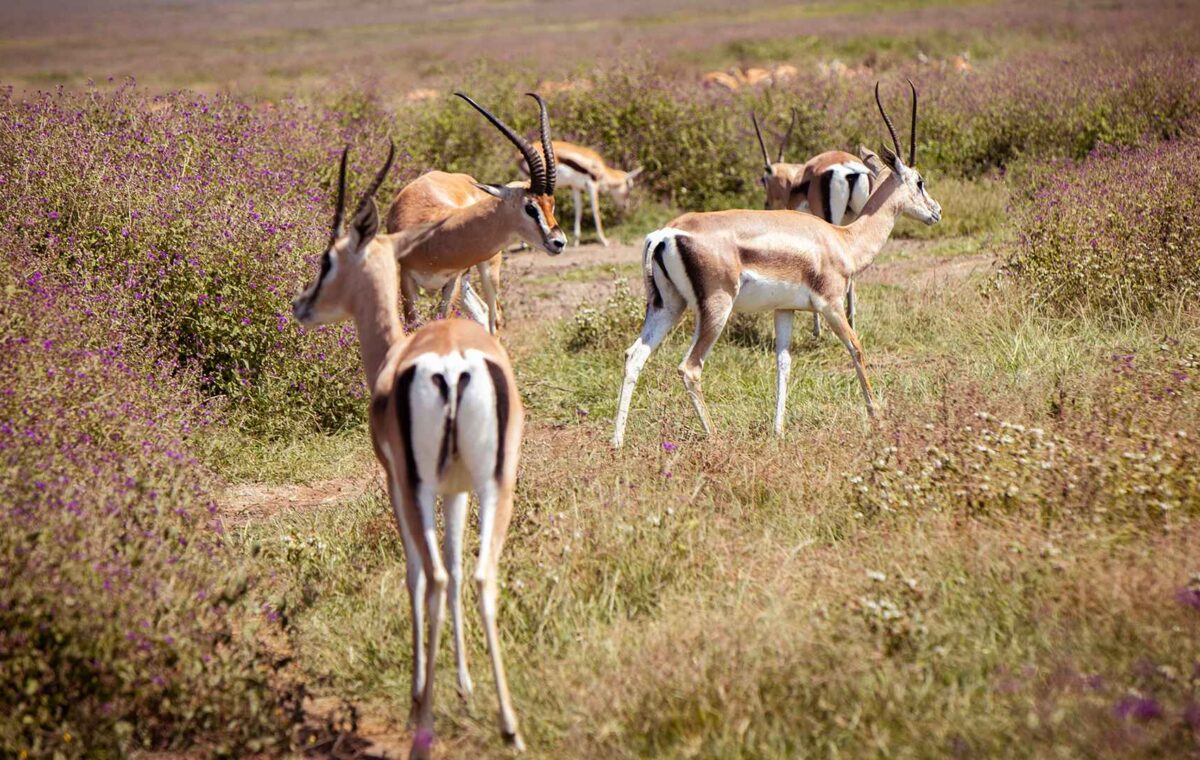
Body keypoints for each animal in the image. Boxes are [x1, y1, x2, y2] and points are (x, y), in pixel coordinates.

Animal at [293, 143, 527, 758]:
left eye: (327, 261)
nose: (302, 305)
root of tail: (454, 364)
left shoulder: (398, 482)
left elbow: (418, 574)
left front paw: (424, 692)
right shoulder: (458, 489)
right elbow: (455, 561)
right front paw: (464, 687)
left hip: (420, 485)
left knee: (438, 577)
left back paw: (424, 721)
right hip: (497, 484)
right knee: (481, 574)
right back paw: (509, 725)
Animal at [385, 92, 567, 335]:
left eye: (552, 204)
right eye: (530, 207)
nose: (559, 242)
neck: (434, 235)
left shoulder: (452, 282)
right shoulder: (406, 278)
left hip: (487, 270)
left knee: (494, 317)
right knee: (482, 314)